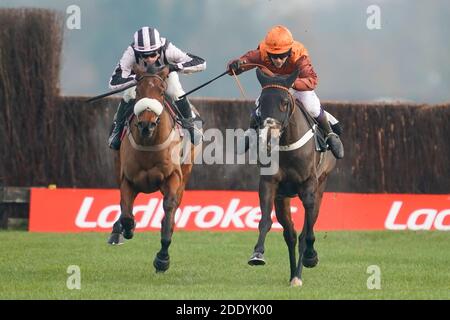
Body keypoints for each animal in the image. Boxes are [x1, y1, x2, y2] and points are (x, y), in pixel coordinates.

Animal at [108, 64, 195, 272]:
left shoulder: (173, 177)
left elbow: (169, 211)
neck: (149, 145)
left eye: (161, 92)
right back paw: (117, 231)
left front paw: (162, 259)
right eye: (138, 91)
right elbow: (126, 213)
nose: (146, 124)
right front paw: (126, 229)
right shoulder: (127, 179)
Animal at [248, 68, 336, 288]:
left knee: (306, 229)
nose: (268, 136)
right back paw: (292, 274)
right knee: (290, 234)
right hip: (283, 198)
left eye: (285, 102)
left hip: (322, 184)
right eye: (260, 103)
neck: (287, 147)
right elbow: (265, 221)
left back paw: (299, 271)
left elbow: (308, 233)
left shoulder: (309, 187)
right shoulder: (269, 184)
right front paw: (257, 254)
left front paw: (310, 258)